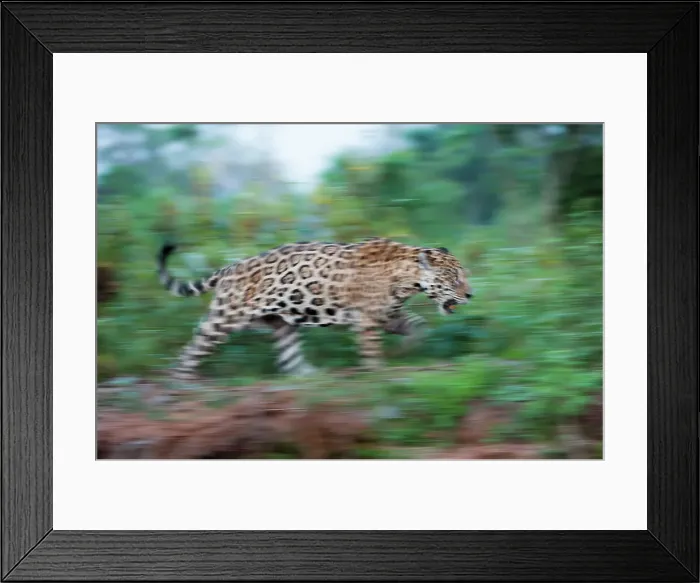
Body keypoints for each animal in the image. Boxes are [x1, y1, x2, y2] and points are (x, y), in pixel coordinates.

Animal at [157, 236, 473, 381]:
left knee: (289, 357)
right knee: (195, 345)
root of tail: (230, 268)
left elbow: (418, 326)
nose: (470, 294)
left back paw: (310, 375)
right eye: (454, 278)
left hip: (280, 322)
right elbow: (371, 349)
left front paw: (409, 349)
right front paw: (377, 370)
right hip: (226, 316)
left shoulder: (389, 314)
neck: (407, 278)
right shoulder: (368, 319)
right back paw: (180, 381)